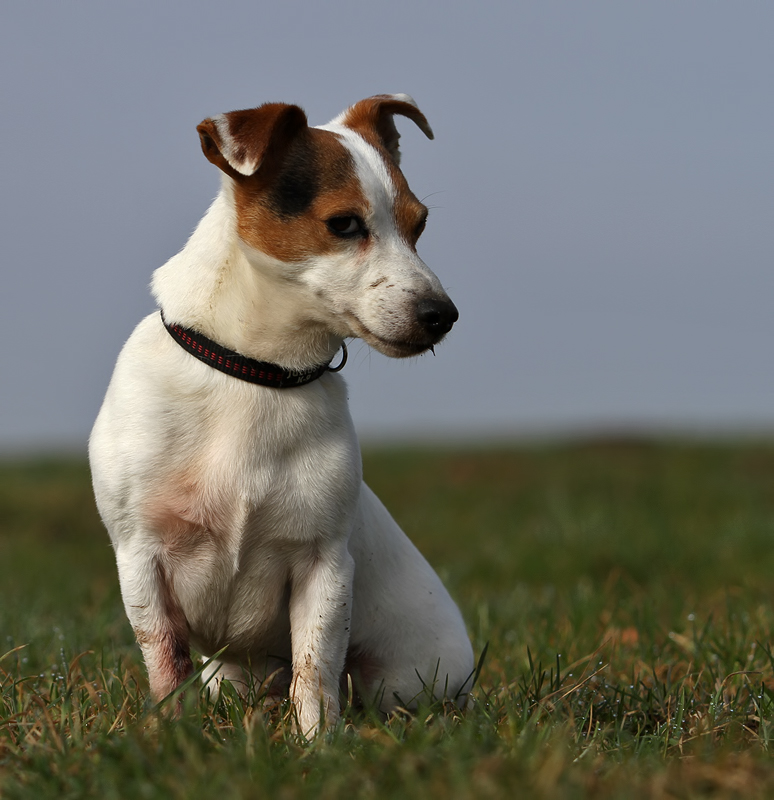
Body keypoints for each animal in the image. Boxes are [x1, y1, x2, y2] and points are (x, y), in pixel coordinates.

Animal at [88, 90, 476, 736]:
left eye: (420, 225)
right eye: (343, 224)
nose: (442, 315)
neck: (258, 371)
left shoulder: (324, 566)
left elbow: (315, 670)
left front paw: (319, 743)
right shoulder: (141, 556)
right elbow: (166, 663)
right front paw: (170, 737)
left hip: (409, 678)